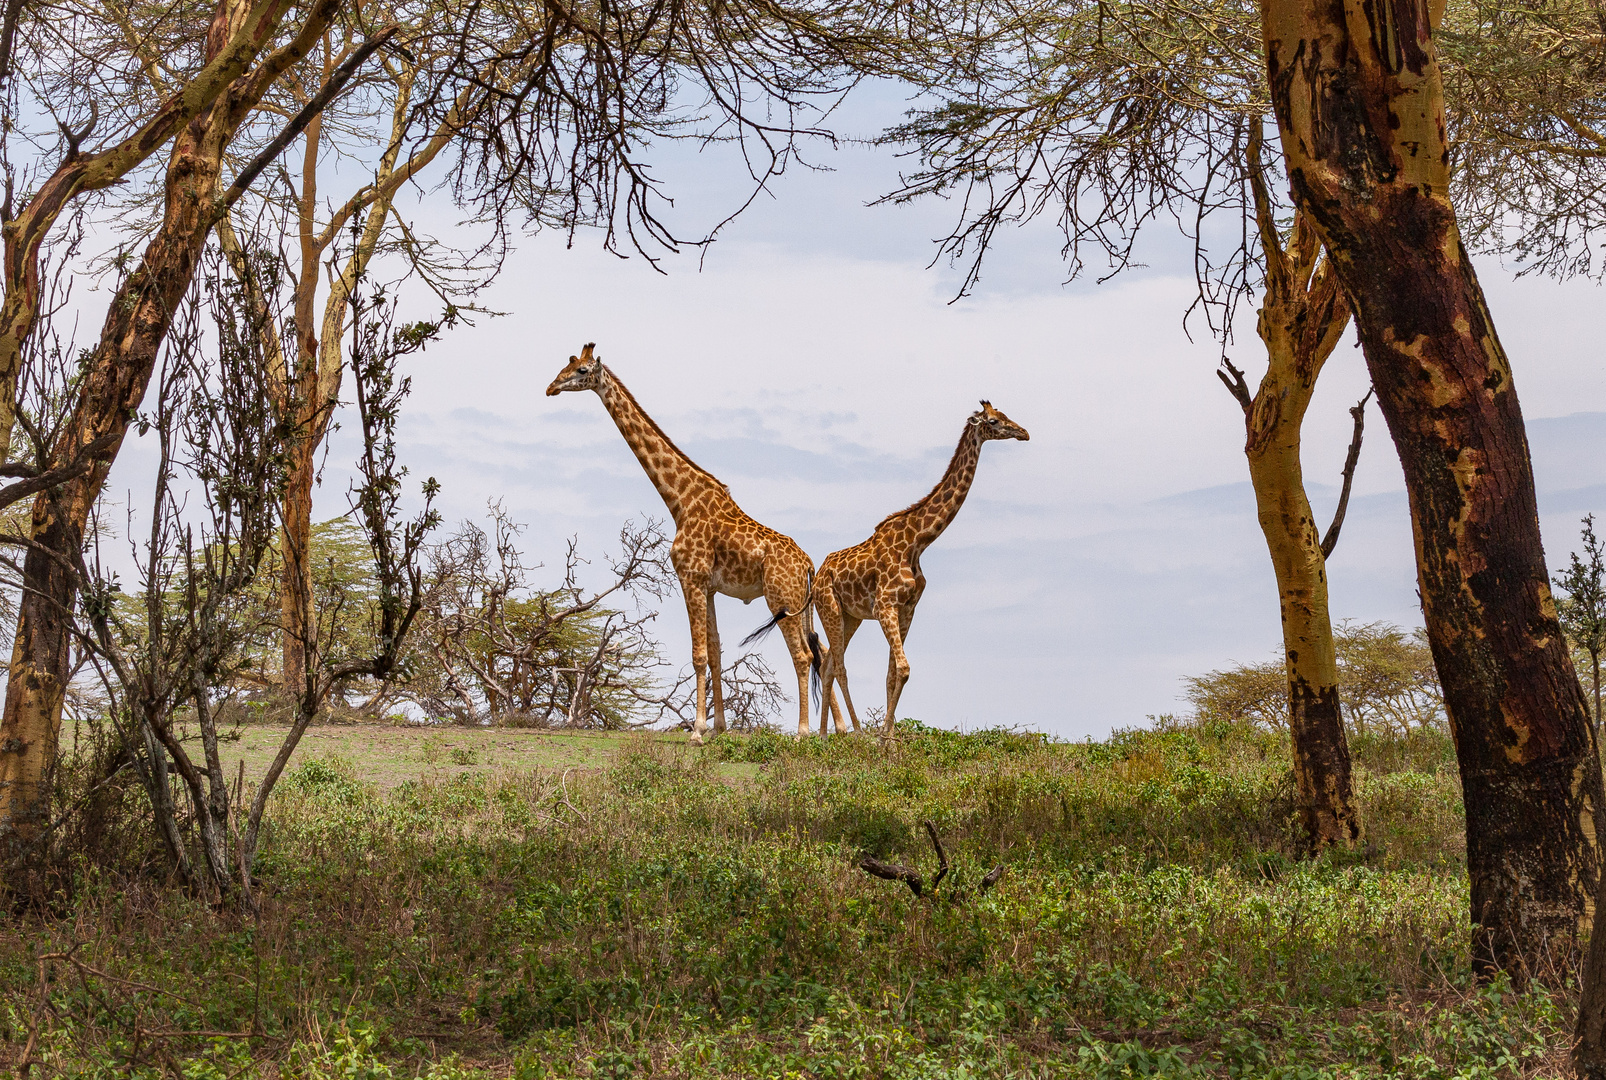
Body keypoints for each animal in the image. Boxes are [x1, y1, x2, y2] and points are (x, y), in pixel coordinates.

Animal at [546, 345, 822, 742]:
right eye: (566, 363)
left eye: (581, 370)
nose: (550, 387)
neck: (679, 501)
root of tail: (809, 564)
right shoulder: (708, 585)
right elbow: (716, 650)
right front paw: (718, 727)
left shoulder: (689, 577)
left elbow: (698, 654)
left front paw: (697, 731)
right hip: (799, 603)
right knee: (820, 653)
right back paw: (830, 731)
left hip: (780, 598)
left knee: (802, 655)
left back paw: (802, 732)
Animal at [815, 400, 1027, 739]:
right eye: (994, 421)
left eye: (1006, 415)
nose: (1024, 433)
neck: (918, 542)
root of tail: (819, 574)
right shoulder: (886, 605)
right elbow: (903, 668)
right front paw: (880, 739)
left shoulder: (907, 608)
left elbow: (892, 673)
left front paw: (889, 740)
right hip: (830, 608)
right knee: (840, 665)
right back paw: (856, 732)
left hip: (851, 617)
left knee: (827, 665)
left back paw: (823, 737)